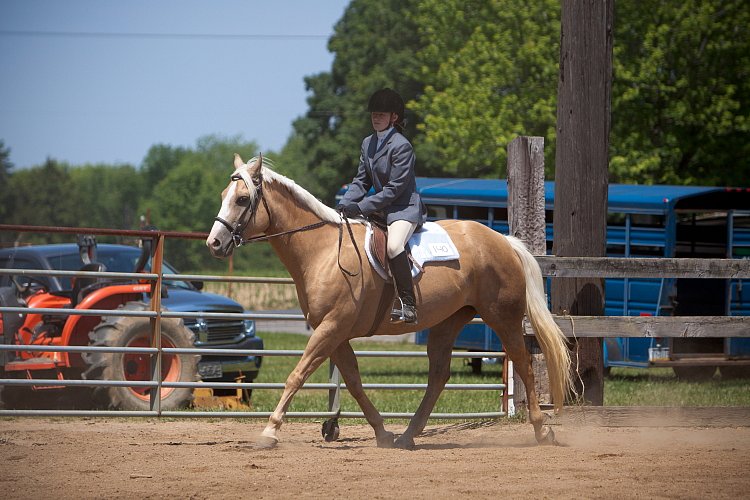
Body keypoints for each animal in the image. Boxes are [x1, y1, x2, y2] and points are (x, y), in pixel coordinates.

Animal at [209, 153, 572, 450]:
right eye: (223, 196)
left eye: (242, 199)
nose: (214, 243)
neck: (321, 250)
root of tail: (503, 240)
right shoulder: (335, 333)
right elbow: (353, 382)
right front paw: (382, 432)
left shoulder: (331, 327)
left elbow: (297, 375)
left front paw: (269, 432)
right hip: (448, 321)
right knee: (438, 375)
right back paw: (408, 435)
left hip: (502, 316)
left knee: (523, 364)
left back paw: (542, 430)